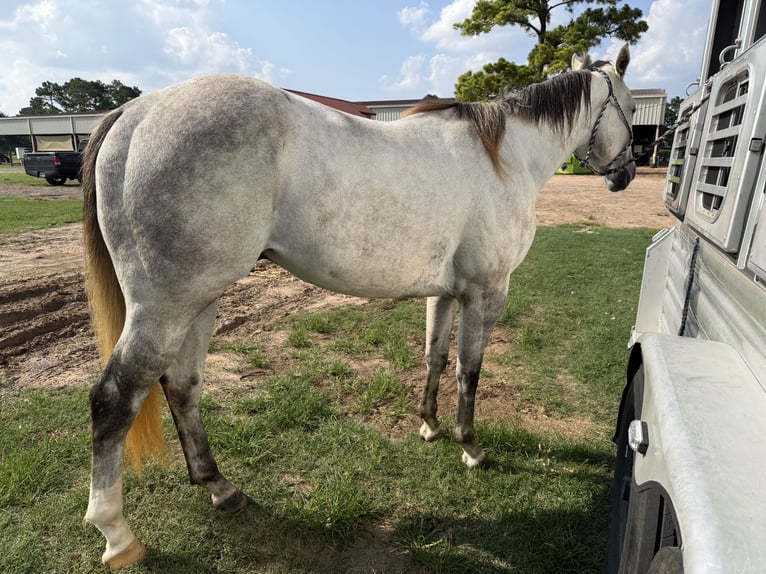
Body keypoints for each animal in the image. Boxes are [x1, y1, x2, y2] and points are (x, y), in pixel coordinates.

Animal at [81, 45, 634, 568]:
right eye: (631, 108)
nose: (625, 175)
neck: (503, 157)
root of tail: (138, 112)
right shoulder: (486, 292)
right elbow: (469, 371)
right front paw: (470, 447)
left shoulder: (445, 293)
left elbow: (435, 357)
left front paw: (429, 426)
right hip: (166, 308)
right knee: (113, 400)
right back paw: (117, 536)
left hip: (199, 302)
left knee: (182, 385)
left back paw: (220, 487)